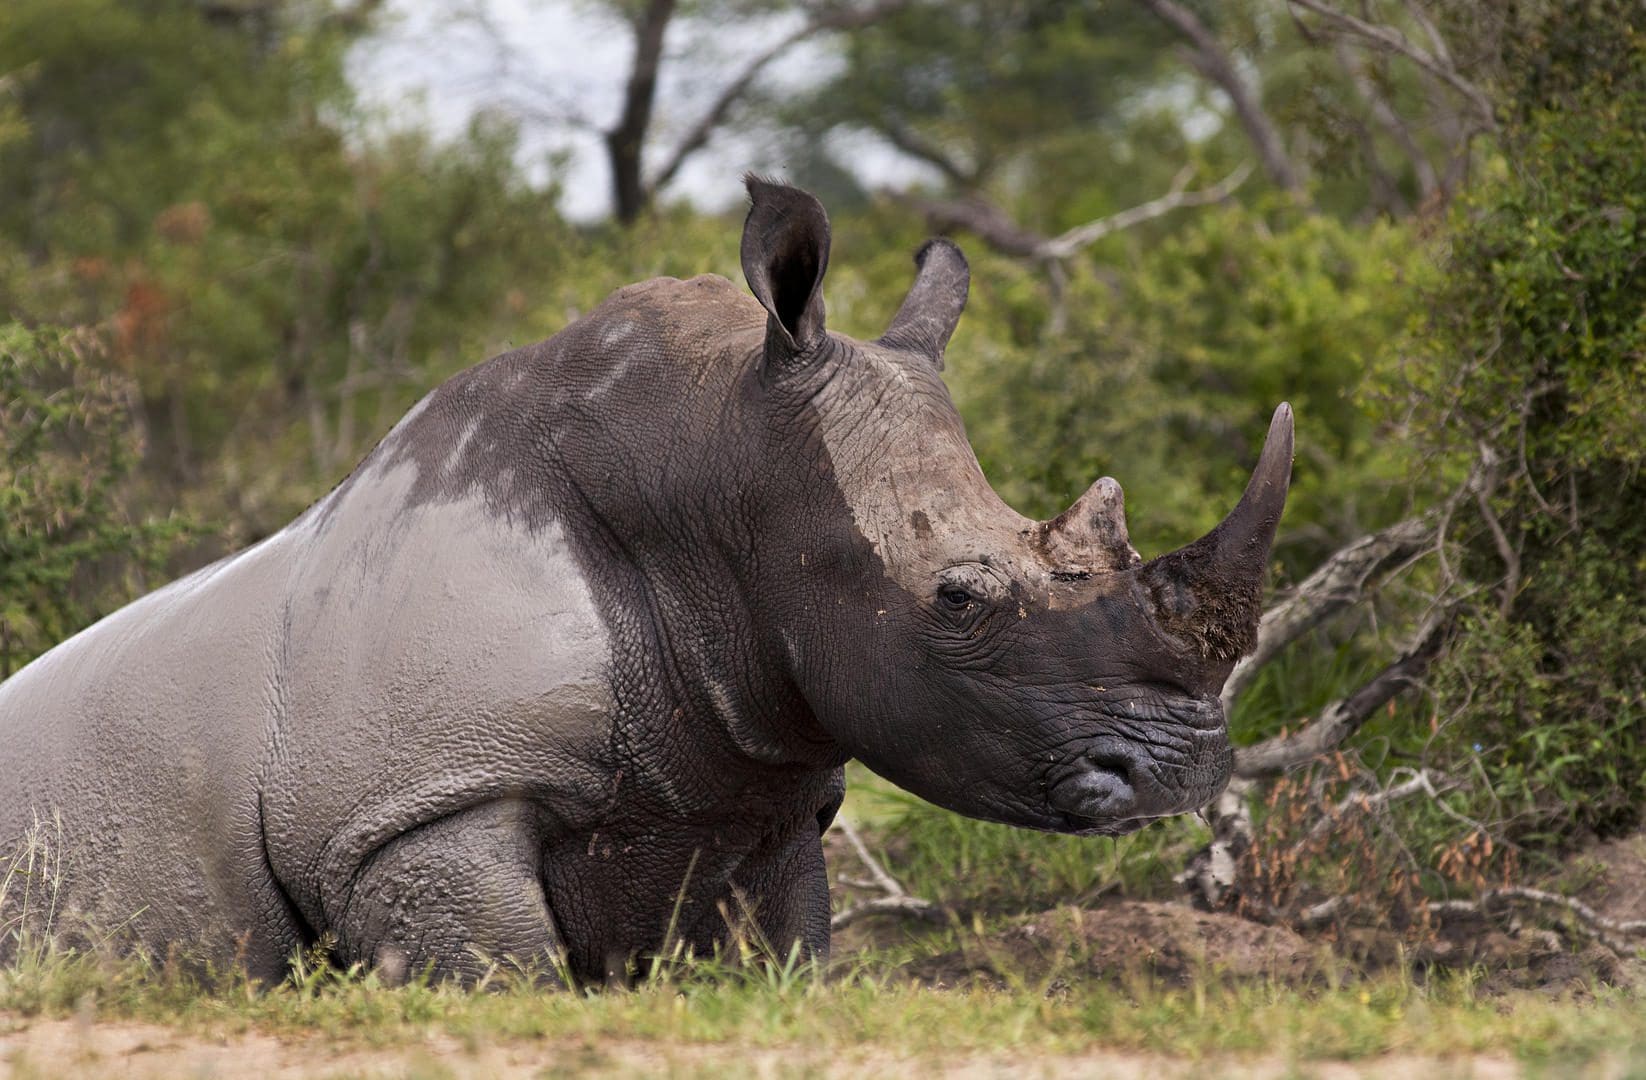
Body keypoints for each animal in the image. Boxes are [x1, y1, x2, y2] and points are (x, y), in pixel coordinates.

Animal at [0, 178, 1291, 986]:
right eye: (957, 600)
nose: (1186, 776)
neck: (708, 482)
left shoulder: (765, 782)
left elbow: (788, 958)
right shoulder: (412, 804)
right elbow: (501, 976)